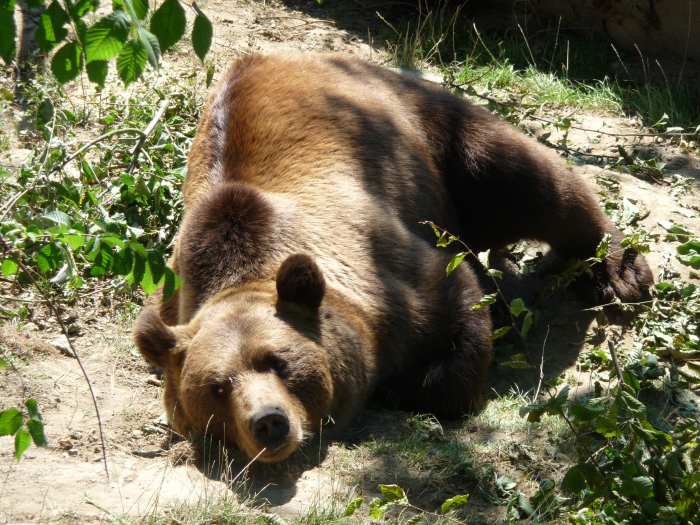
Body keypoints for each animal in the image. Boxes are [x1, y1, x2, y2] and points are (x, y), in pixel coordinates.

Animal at [133, 52, 652, 462]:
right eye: (217, 388)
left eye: (277, 361)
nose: (268, 421)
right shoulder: (173, 293)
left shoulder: (380, 263)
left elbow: (454, 307)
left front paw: (411, 385)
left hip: (422, 130)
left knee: (523, 179)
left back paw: (619, 270)